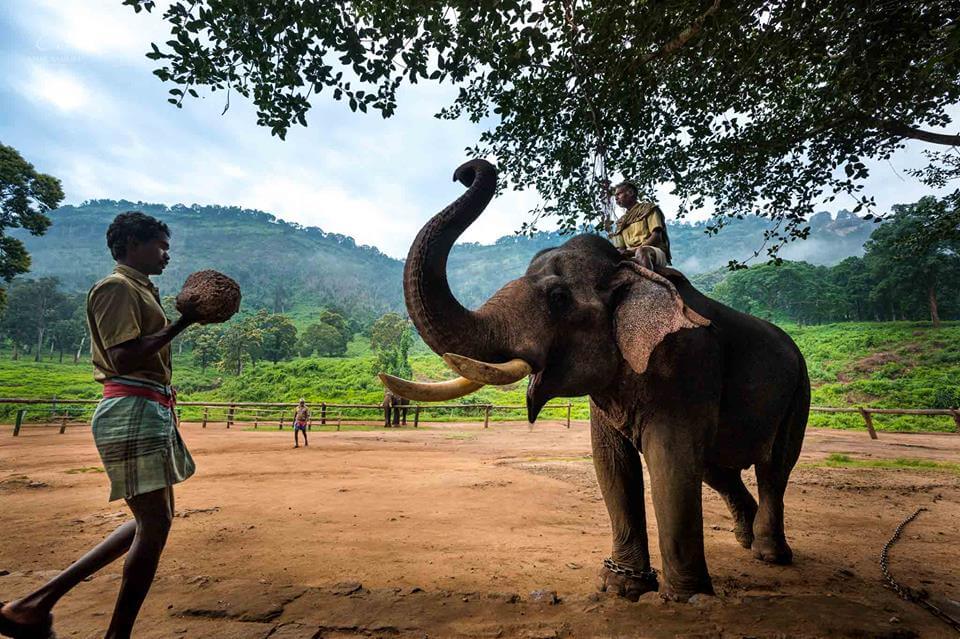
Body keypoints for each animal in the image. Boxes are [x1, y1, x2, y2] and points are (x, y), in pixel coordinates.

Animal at [380, 159, 810, 602]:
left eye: (558, 298)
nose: (465, 171)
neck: (629, 271)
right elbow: (612, 463)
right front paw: (622, 586)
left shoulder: (688, 362)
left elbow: (671, 461)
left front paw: (686, 598)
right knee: (716, 467)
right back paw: (746, 538)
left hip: (800, 391)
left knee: (774, 466)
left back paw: (770, 554)